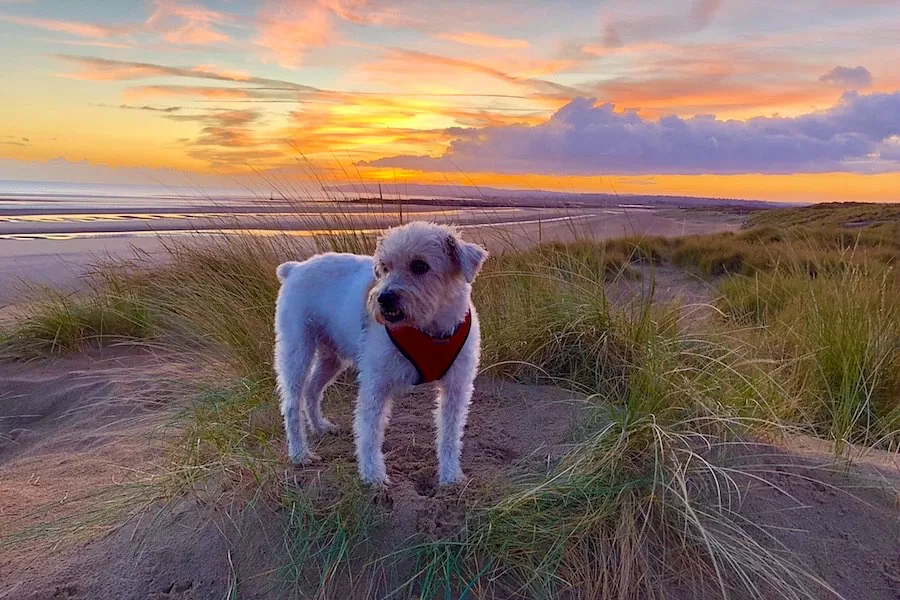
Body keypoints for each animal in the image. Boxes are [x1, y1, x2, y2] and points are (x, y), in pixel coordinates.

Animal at [274, 223, 488, 486]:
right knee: (292, 404)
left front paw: (450, 476)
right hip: (297, 351)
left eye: (420, 266)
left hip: (331, 358)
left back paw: (321, 427)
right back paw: (300, 454)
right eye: (384, 267)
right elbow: (369, 432)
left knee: (312, 390)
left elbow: (449, 434)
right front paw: (373, 475)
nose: (383, 299)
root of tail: (295, 269)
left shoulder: (456, 388)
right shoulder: (376, 384)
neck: (429, 329)